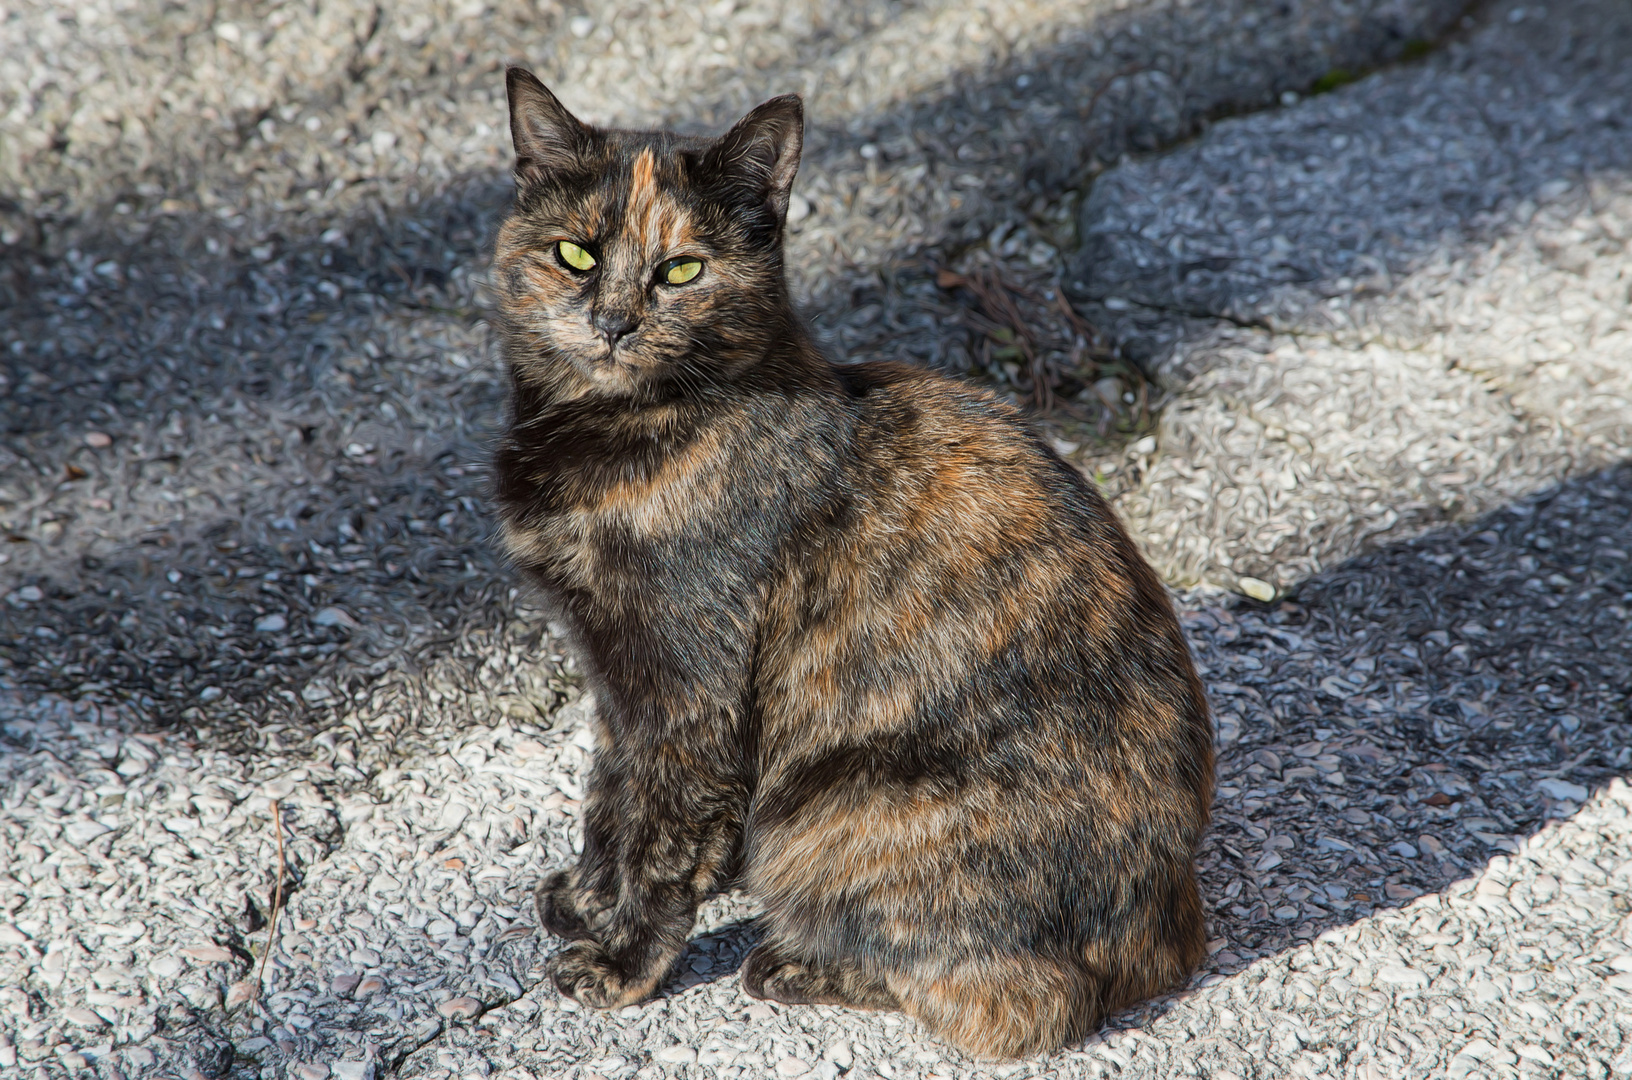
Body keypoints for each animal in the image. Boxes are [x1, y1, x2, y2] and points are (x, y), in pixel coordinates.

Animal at [486, 71, 1214, 1063]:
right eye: (575, 253)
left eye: (682, 271)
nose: (612, 323)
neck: (624, 432)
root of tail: (1173, 926)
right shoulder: (619, 677)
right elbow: (612, 794)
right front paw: (589, 898)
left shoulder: (689, 690)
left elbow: (664, 830)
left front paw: (622, 960)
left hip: (828, 807)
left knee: (1022, 1001)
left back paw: (791, 965)